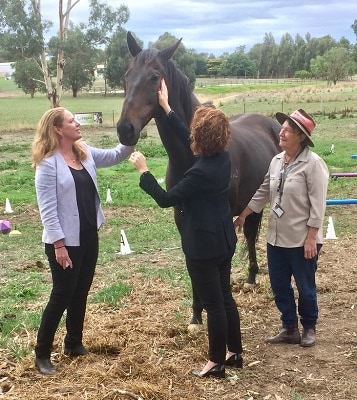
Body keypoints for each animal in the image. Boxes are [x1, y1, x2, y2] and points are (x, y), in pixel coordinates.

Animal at [117, 31, 280, 324]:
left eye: (155, 77)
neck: (192, 155)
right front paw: (196, 314)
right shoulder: (182, 218)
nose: (125, 129)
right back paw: (250, 277)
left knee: (252, 234)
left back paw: (253, 277)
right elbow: (192, 261)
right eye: (127, 74)